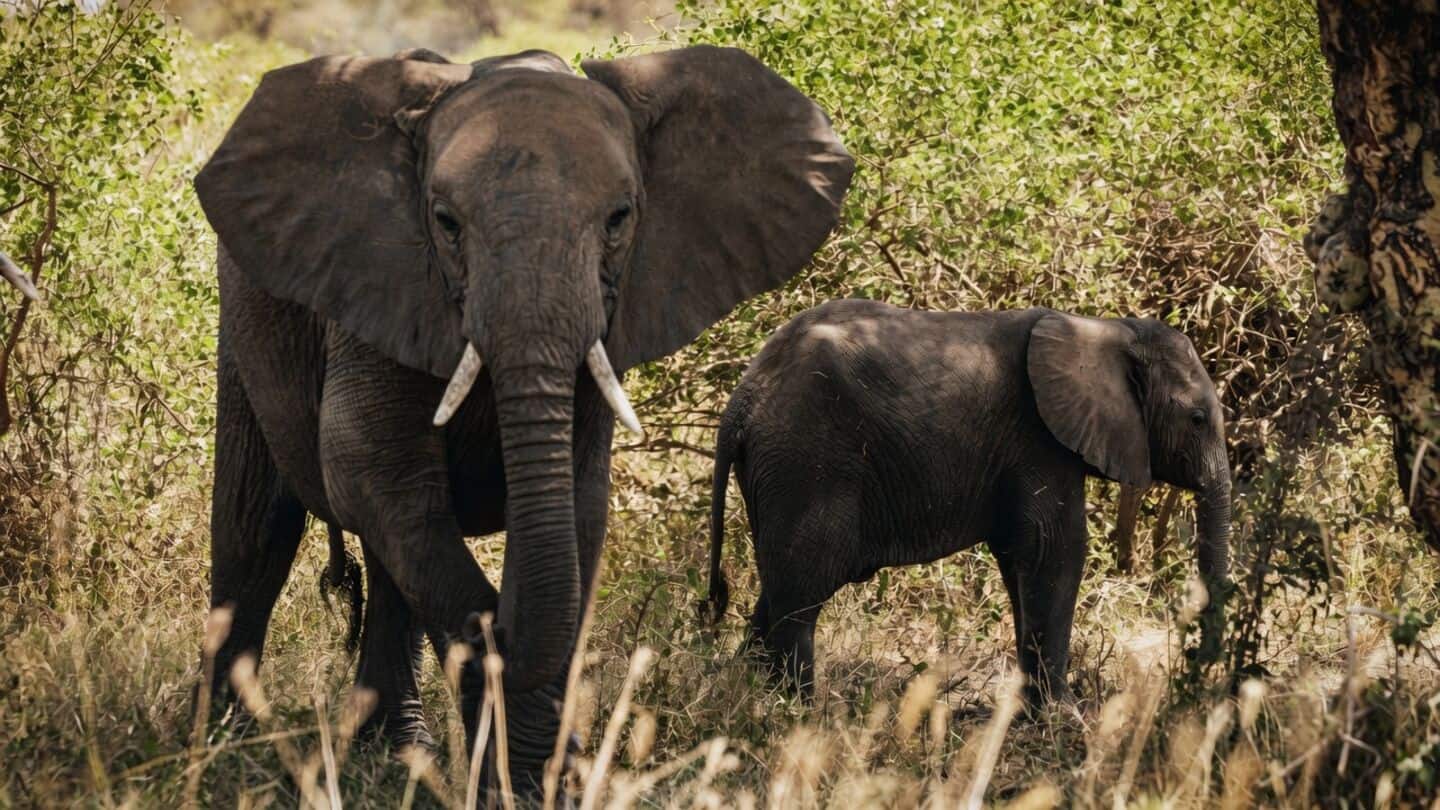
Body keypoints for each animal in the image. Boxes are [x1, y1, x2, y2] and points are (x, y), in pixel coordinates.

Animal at [192, 45, 853, 794]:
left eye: (619, 218)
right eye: (445, 222)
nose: (500, 635)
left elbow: (576, 507)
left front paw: (536, 778)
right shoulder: (377, 285)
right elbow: (363, 464)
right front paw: (510, 740)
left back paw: (395, 755)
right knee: (258, 525)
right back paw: (223, 747)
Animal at [706, 299, 1232, 705]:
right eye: (1198, 419)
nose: (1201, 667)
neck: (1106, 327)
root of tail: (742, 399)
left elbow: (1019, 559)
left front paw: (1031, 710)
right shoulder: (1040, 440)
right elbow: (1055, 552)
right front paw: (1063, 715)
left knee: (780, 589)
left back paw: (749, 695)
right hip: (806, 461)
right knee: (801, 594)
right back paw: (800, 714)